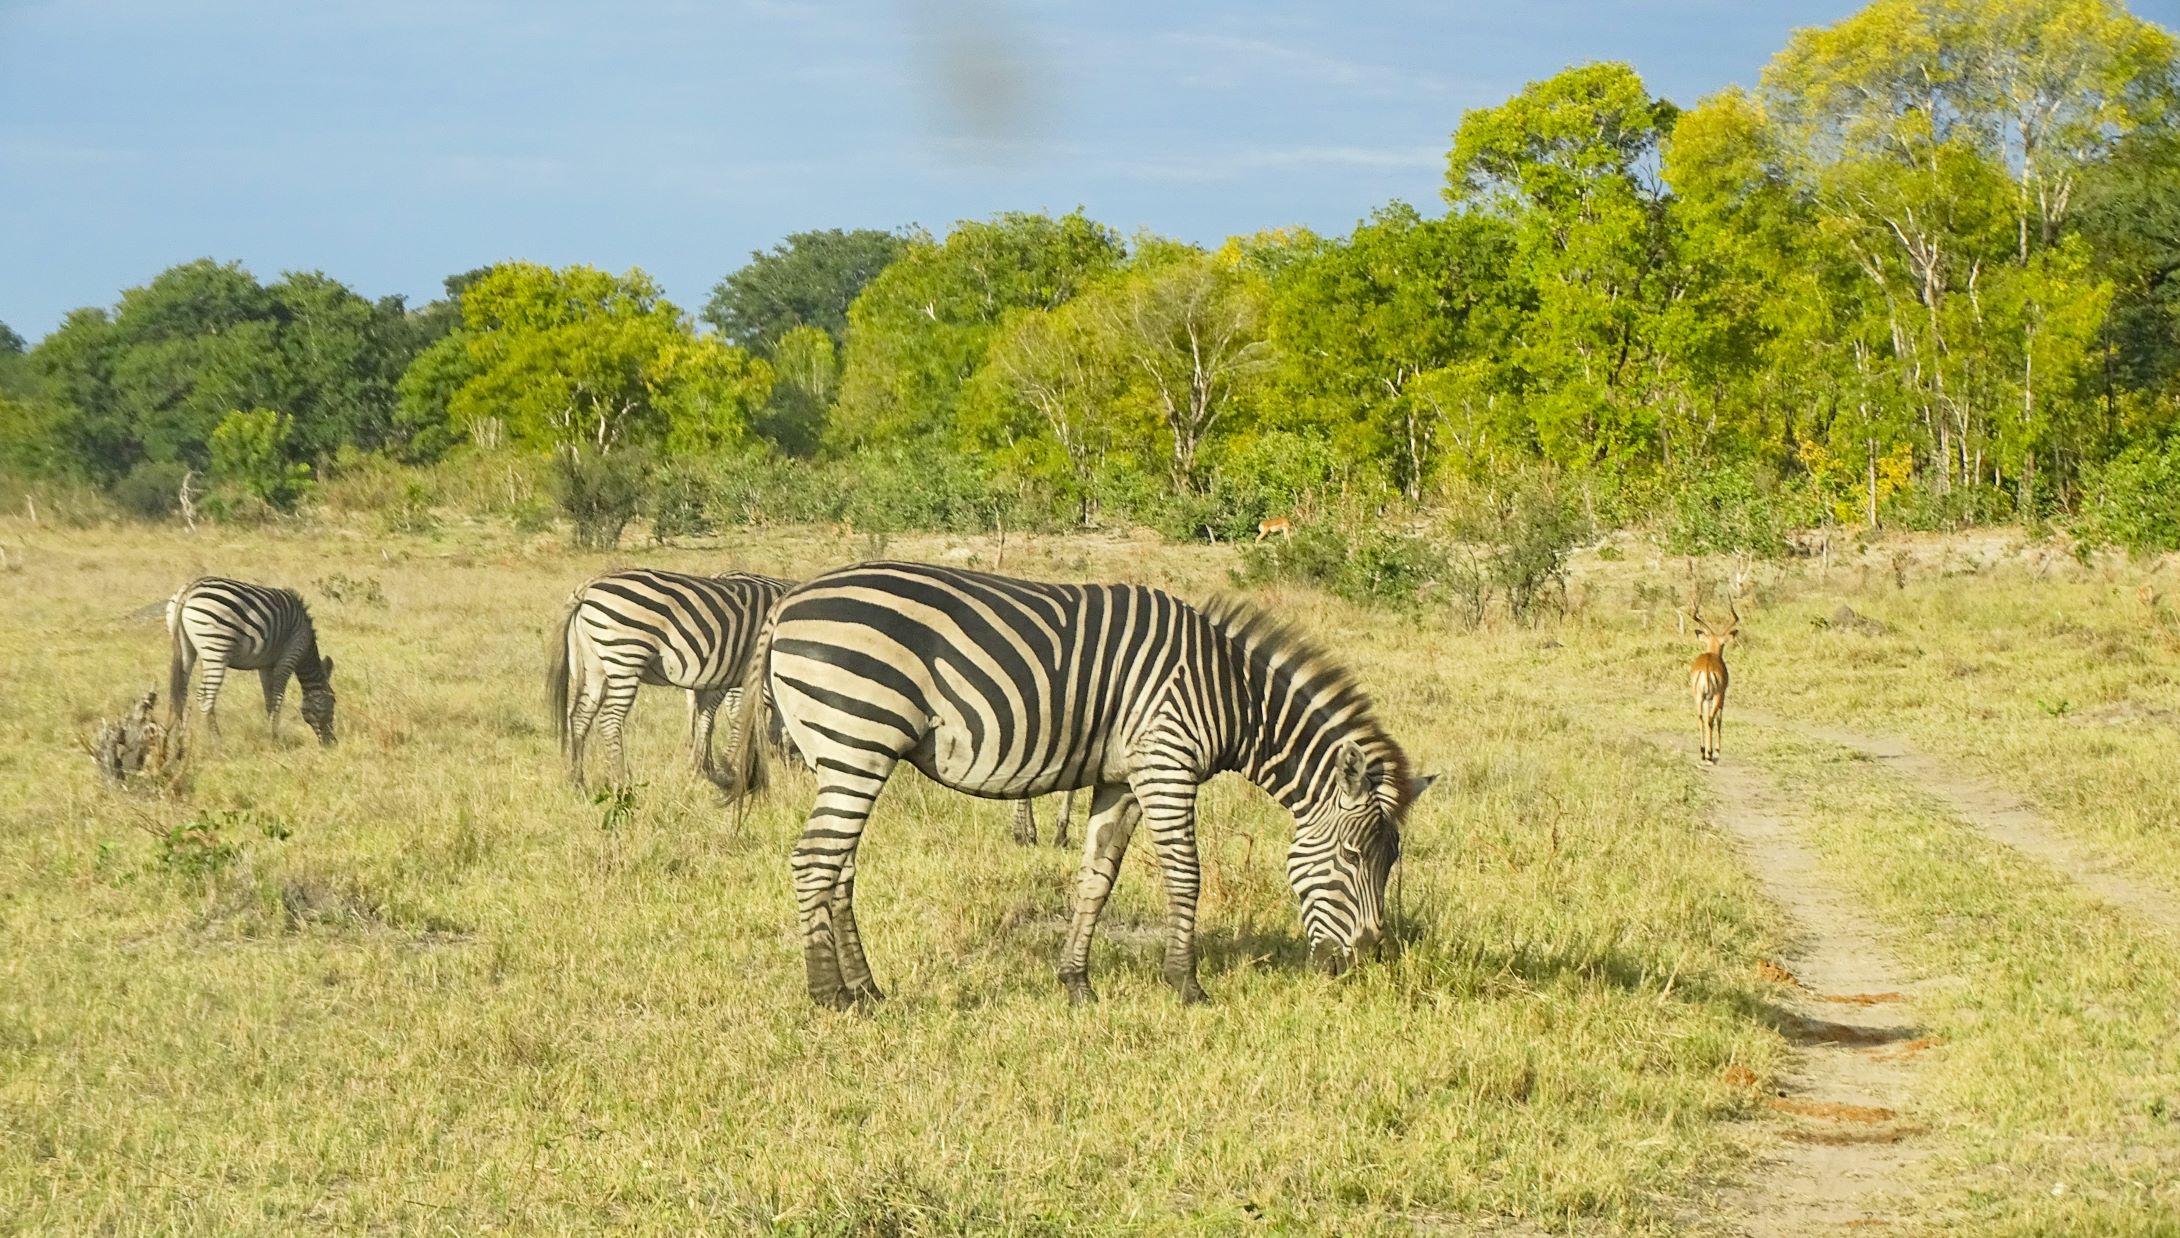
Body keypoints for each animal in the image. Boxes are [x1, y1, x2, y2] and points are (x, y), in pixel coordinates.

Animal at [166, 579, 335, 745]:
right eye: (334, 701)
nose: (332, 743)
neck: (306, 646)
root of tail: (189, 590)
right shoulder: (289, 656)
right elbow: (278, 697)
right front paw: (274, 738)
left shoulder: (265, 665)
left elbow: (269, 699)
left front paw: (271, 734)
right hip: (216, 648)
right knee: (205, 696)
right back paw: (216, 741)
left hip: (186, 648)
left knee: (181, 693)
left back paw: (181, 739)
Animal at [549, 566, 797, 789]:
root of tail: (588, 587)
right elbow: (757, 721)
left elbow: (711, 720)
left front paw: (702, 769)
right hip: (626, 655)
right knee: (610, 720)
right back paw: (621, 782)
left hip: (594, 667)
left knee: (579, 717)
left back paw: (577, 782)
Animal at [728, 562, 1430, 1006]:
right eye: (1350, 856)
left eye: (1390, 861)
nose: (1364, 959)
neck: (1233, 695)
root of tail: (790, 601)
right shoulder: (1166, 764)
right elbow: (1186, 874)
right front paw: (1186, 985)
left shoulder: (1122, 779)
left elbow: (1097, 877)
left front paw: (1076, 983)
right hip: (858, 740)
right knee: (814, 862)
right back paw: (829, 996)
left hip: (841, 754)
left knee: (838, 866)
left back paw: (866, 989)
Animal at [1682, 601, 1735, 762]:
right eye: (1723, 644)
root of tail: (1706, 667)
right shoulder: (1721, 696)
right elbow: (1719, 719)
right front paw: (1716, 751)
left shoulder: (1706, 698)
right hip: (1716, 696)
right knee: (1711, 719)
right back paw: (1710, 754)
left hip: (1699, 696)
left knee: (1701, 717)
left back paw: (1702, 751)